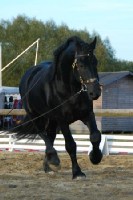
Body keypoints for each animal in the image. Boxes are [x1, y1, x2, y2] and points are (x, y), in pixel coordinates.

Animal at [11, 36, 102, 180]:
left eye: (95, 62)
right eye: (81, 64)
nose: (95, 92)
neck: (69, 89)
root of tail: (29, 74)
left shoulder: (87, 114)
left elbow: (95, 136)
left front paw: (95, 157)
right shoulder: (62, 120)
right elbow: (70, 145)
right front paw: (77, 172)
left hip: (51, 121)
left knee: (51, 137)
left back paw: (48, 166)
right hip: (35, 116)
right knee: (43, 135)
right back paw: (53, 159)